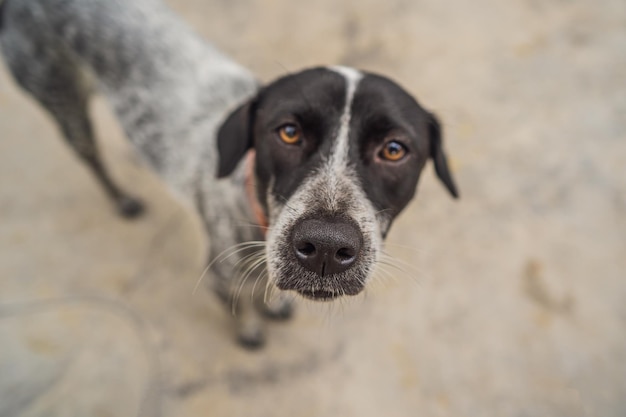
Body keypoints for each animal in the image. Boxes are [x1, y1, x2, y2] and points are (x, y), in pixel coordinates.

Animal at [0, 0, 458, 346]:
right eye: (288, 132)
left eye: (394, 150)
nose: (326, 247)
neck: (255, 212)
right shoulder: (222, 277)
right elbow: (243, 311)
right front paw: (251, 332)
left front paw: (274, 306)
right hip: (63, 103)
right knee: (91, 156)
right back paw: (122, 199)